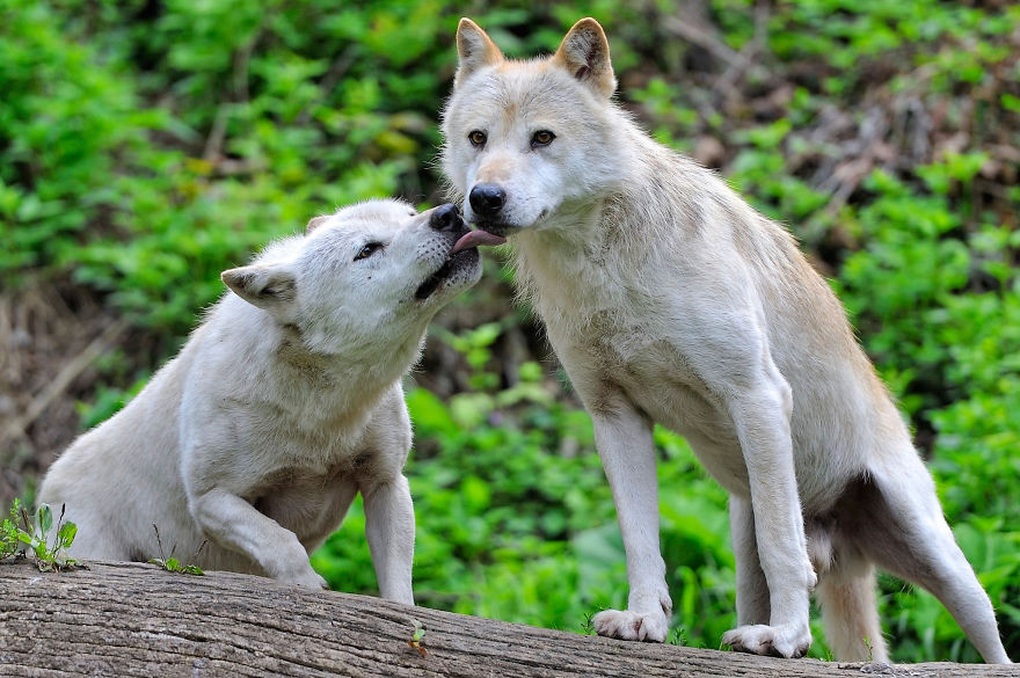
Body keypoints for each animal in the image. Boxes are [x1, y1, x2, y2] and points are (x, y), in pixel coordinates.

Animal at [38, 196, 481, 603]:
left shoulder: (385, 481)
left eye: (409, 214)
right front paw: (309, 585)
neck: (322, 407)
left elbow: (398, 583)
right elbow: (282, 542)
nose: (449, 213)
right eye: (367, 249)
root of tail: (45, 491)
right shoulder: (212, 499)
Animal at [440, 18, 1011, 664]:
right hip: (745, 532)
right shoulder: (613, 416)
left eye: (542, 138)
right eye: (478, 138)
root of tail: (843, 546)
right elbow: (641, 542)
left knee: (989, 640)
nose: (484, 198)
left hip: (942, 563)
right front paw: (644, 621)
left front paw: (786, 639)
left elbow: (785, 549)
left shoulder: (756, 396)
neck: (604, 262)